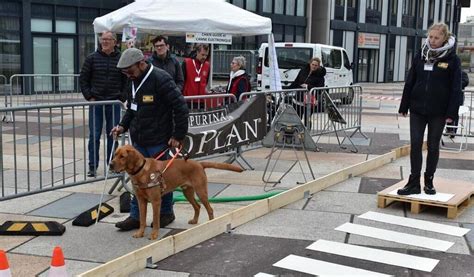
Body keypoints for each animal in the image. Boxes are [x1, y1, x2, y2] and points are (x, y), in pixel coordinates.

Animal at [109, 144, 243, 239]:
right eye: (114, 154)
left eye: (122, 156)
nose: (110, 164)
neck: (141, 171)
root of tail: (199, 163)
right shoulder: (141, 200)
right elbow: (142, 220)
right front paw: (140, 233)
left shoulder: (156, 201)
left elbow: (156, 220)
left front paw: (154, 234)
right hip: (187, 192)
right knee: (198, 206)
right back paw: (195, 221)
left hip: (201, 191)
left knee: (209, 209)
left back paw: (211, 223)